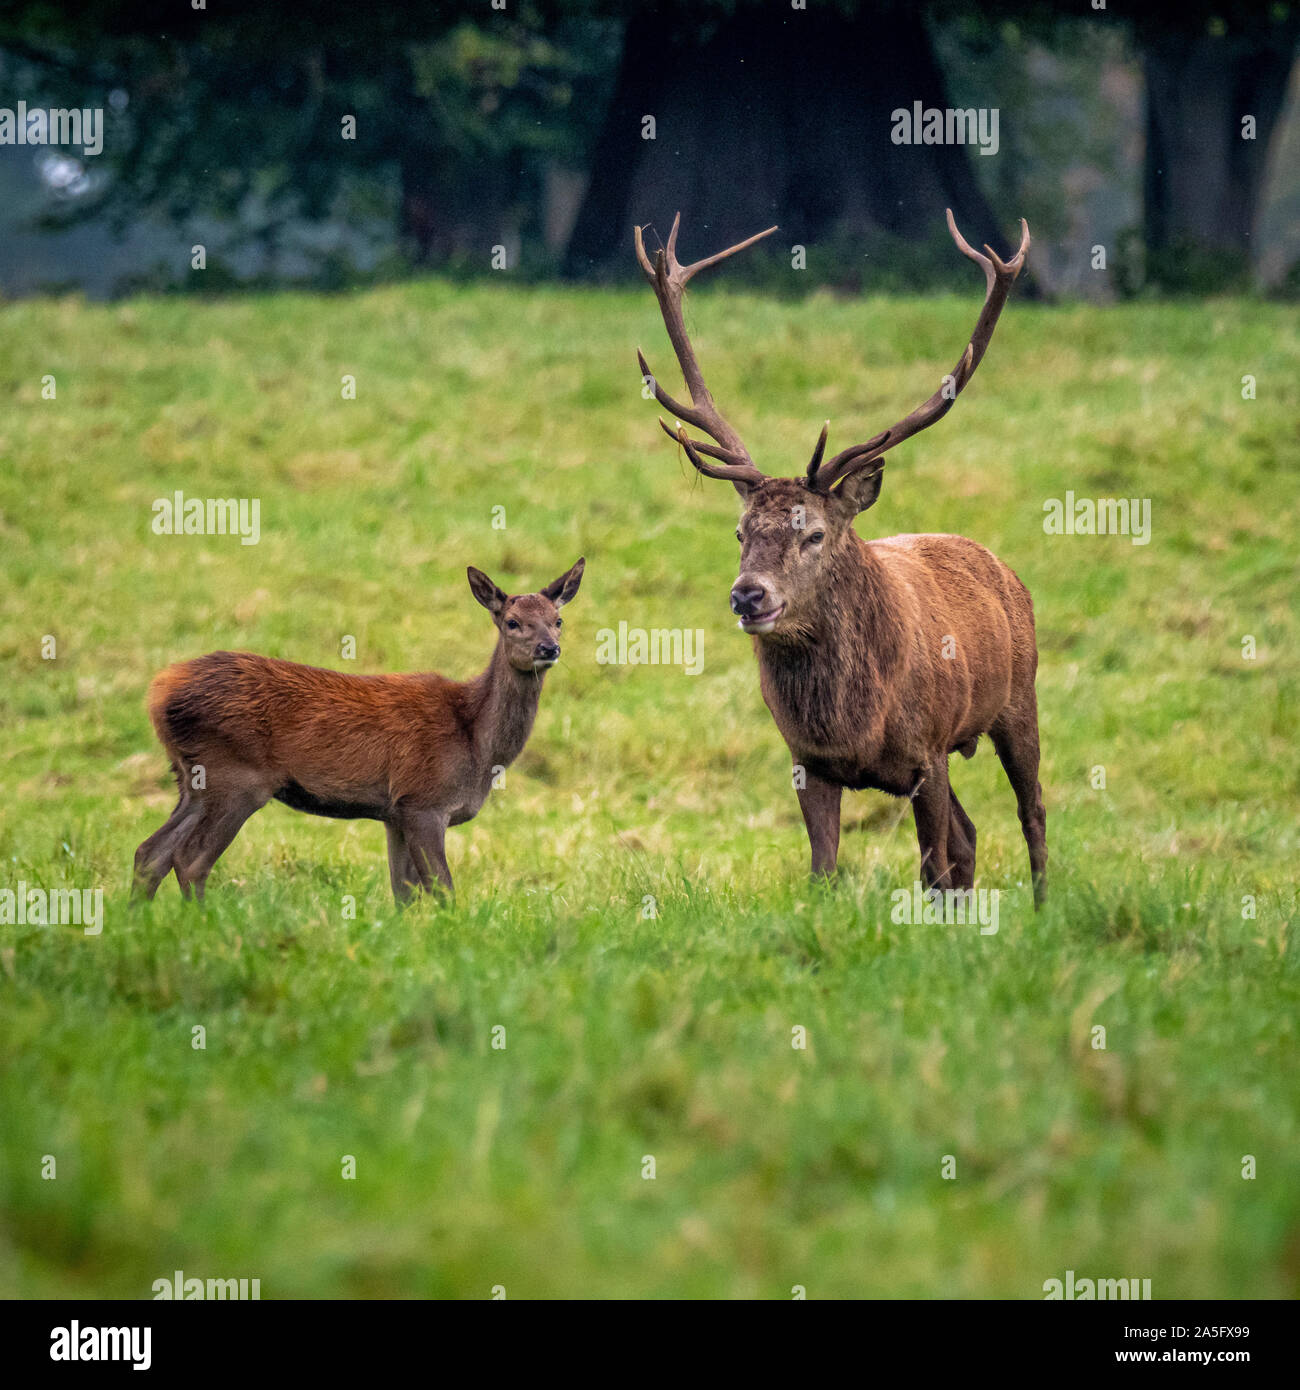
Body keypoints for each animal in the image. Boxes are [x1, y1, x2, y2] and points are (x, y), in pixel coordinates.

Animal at [132, 559, 585, 903]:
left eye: (558, 620)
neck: (478, 743)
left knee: (150, 852)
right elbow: (443, 891)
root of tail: (159, 691)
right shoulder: (423, 802)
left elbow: (404, 894)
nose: (549, 648)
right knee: (189, 859)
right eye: (512, 622)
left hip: (192, 779)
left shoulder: (395, 814)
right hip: (235, 775)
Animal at [634, 211, 1046, 907]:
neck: (854, 722)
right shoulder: (807, 761)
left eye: (816, 534)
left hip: (1020, 697)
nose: (749, 594)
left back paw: (1044, 907)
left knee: (1031, 810)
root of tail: (1005, 570)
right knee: (969, 837)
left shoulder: (928, 750)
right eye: (740, 531)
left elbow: (931, 864)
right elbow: (824, 871)